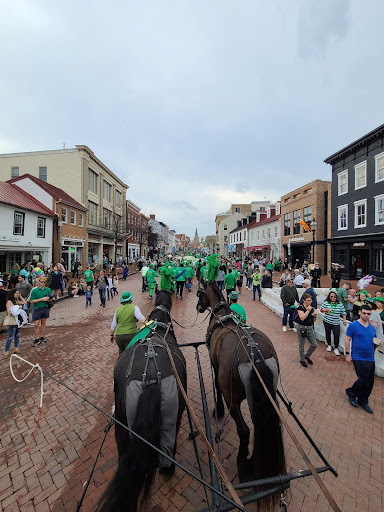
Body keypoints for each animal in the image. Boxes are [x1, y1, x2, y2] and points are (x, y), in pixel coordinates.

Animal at [198, 282, 284, 510]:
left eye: (199, 293)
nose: (198, 308)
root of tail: (255, 355)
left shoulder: (215, 365)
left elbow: (217, 389)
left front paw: (217, 411)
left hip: (234, 399)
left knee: (244, 430)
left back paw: (243, 465)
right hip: (267, 397)